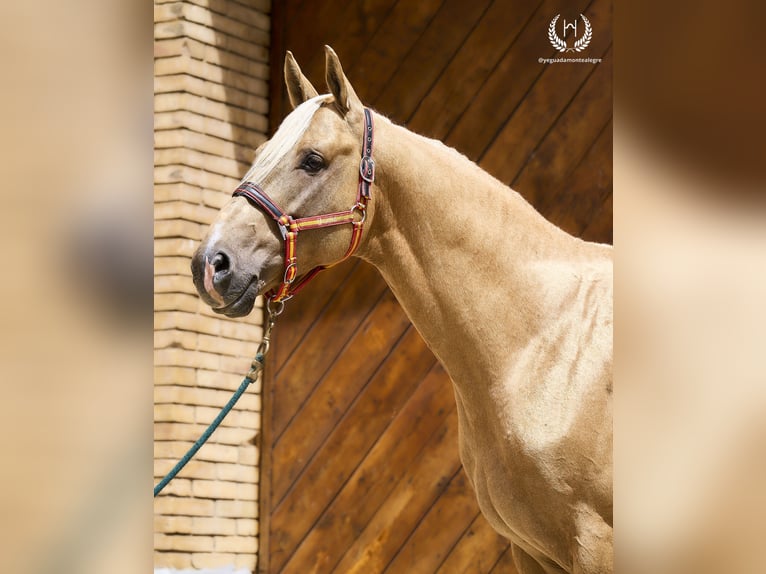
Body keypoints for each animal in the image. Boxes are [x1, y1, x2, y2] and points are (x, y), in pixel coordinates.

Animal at [192, 46, 612, 574]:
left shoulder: (596, 549)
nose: (210, 264)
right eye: (258, 153)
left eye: (313, 160)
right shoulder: (532, 554)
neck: (547, 344)